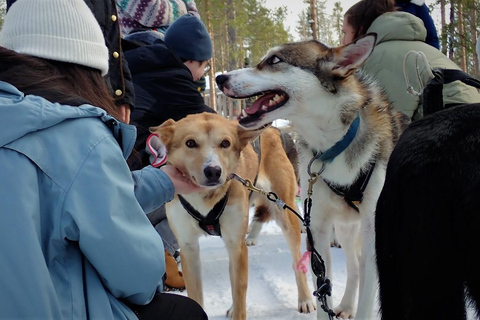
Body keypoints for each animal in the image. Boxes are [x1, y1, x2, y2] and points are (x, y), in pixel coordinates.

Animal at [150, 112, 316, 318]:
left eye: (225, 143)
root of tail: (273, 130)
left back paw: (305, 299)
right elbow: (198, 294)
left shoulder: (236, 244)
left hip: (285, 214)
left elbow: (240, 292)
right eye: (190, 143)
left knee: (296, 261)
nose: (213, 171)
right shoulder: (189, 247)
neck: (206, 198)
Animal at [217, 33, 408, 318]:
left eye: (275, 60)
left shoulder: (373, 232)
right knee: (353, 268)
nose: (220, 78)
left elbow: (367, 298)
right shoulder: (318, 228)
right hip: (344, 228)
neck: (333, 143)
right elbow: (322, 289)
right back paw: (346, 306)